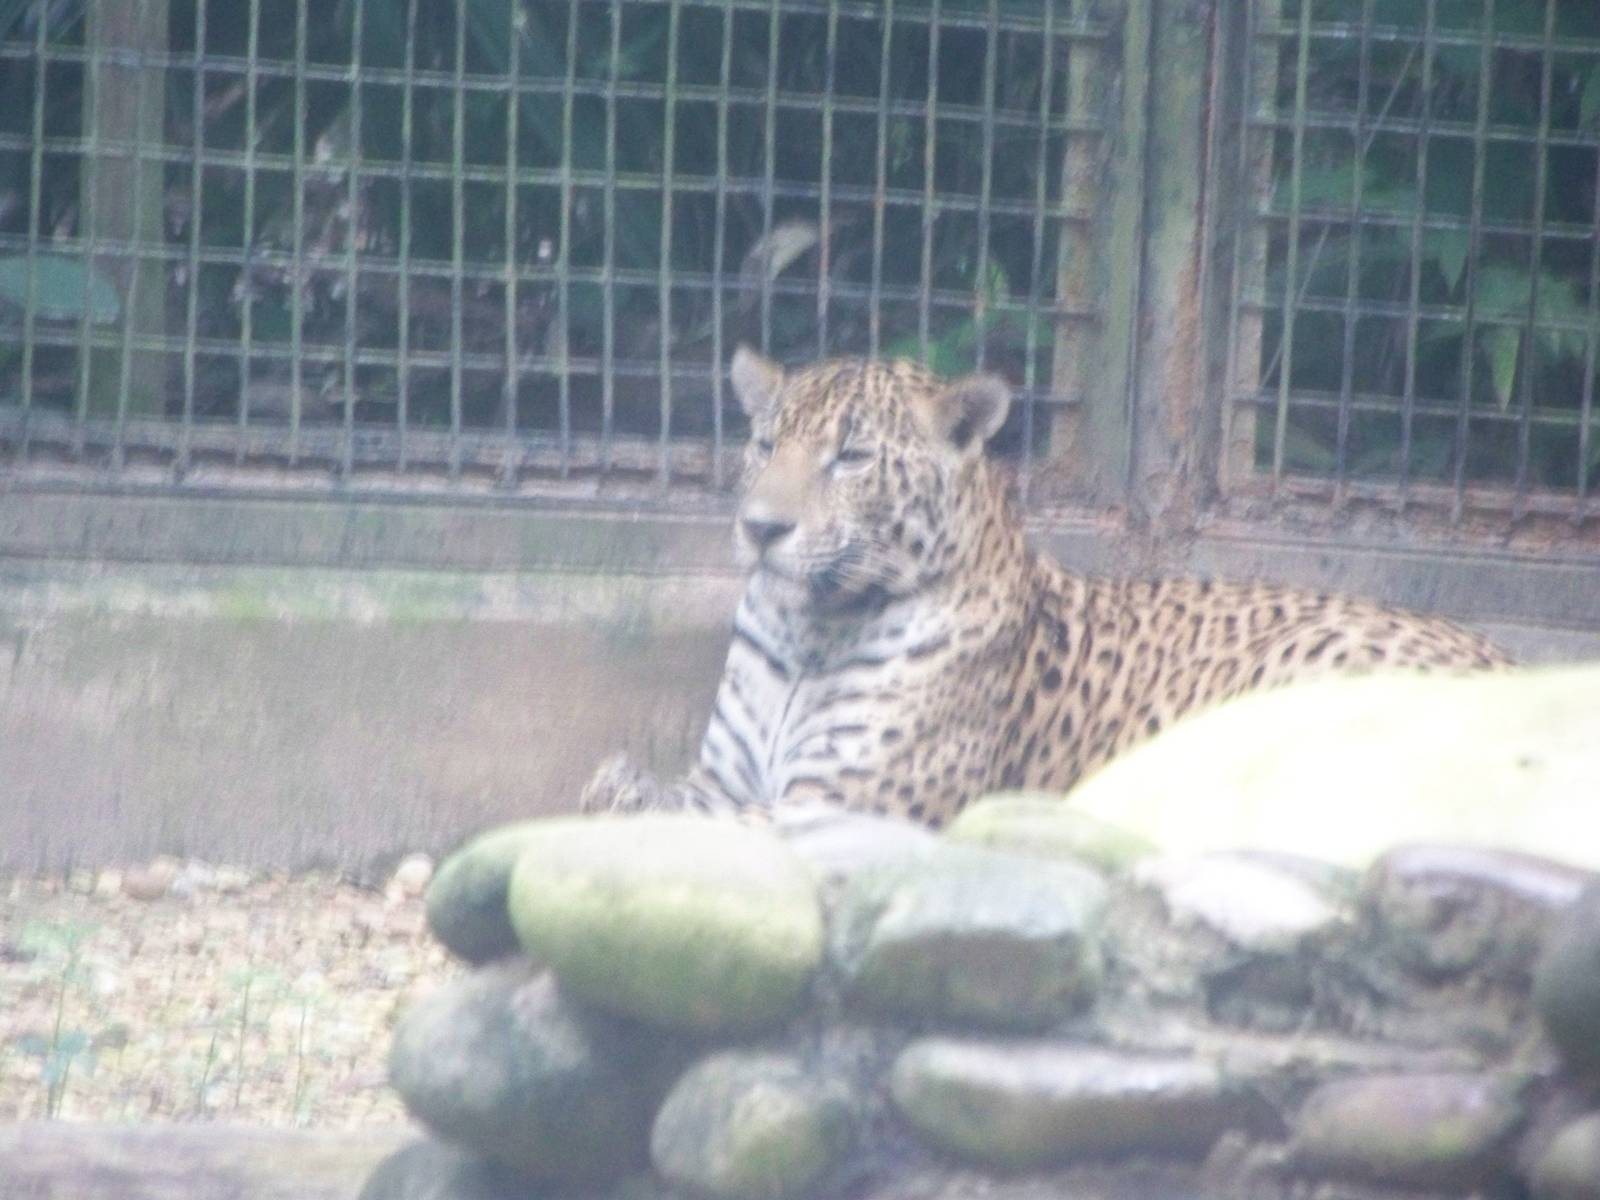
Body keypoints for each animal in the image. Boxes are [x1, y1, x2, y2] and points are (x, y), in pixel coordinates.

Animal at [582, 348, 1510, 828]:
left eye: (850, 457)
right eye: (765, 444)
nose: (761, 528)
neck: (811, 627)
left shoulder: (843, 806)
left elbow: (695, 831)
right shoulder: (725, 779)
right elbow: (659, 802)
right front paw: (617, 786)